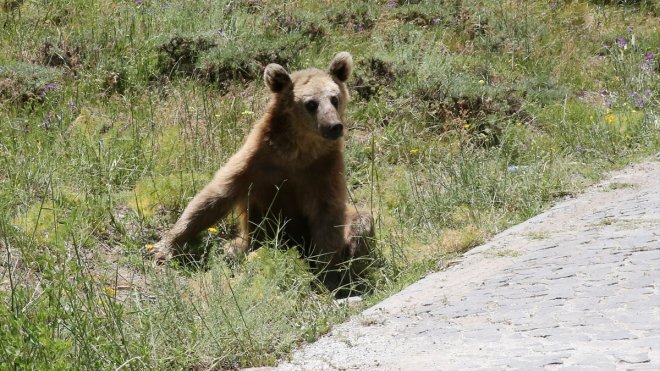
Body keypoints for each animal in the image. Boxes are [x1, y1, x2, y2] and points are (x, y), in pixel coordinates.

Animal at [151, 51, 374, 284]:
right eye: (311, 103)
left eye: (334, 98)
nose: (334, 126)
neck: (297, 152)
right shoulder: (257, 161)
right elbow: (214, 197)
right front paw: (165, 246)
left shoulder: (323, 169)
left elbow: (328, 216)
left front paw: (326, 273)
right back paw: (234, 249)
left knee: (362, 221)